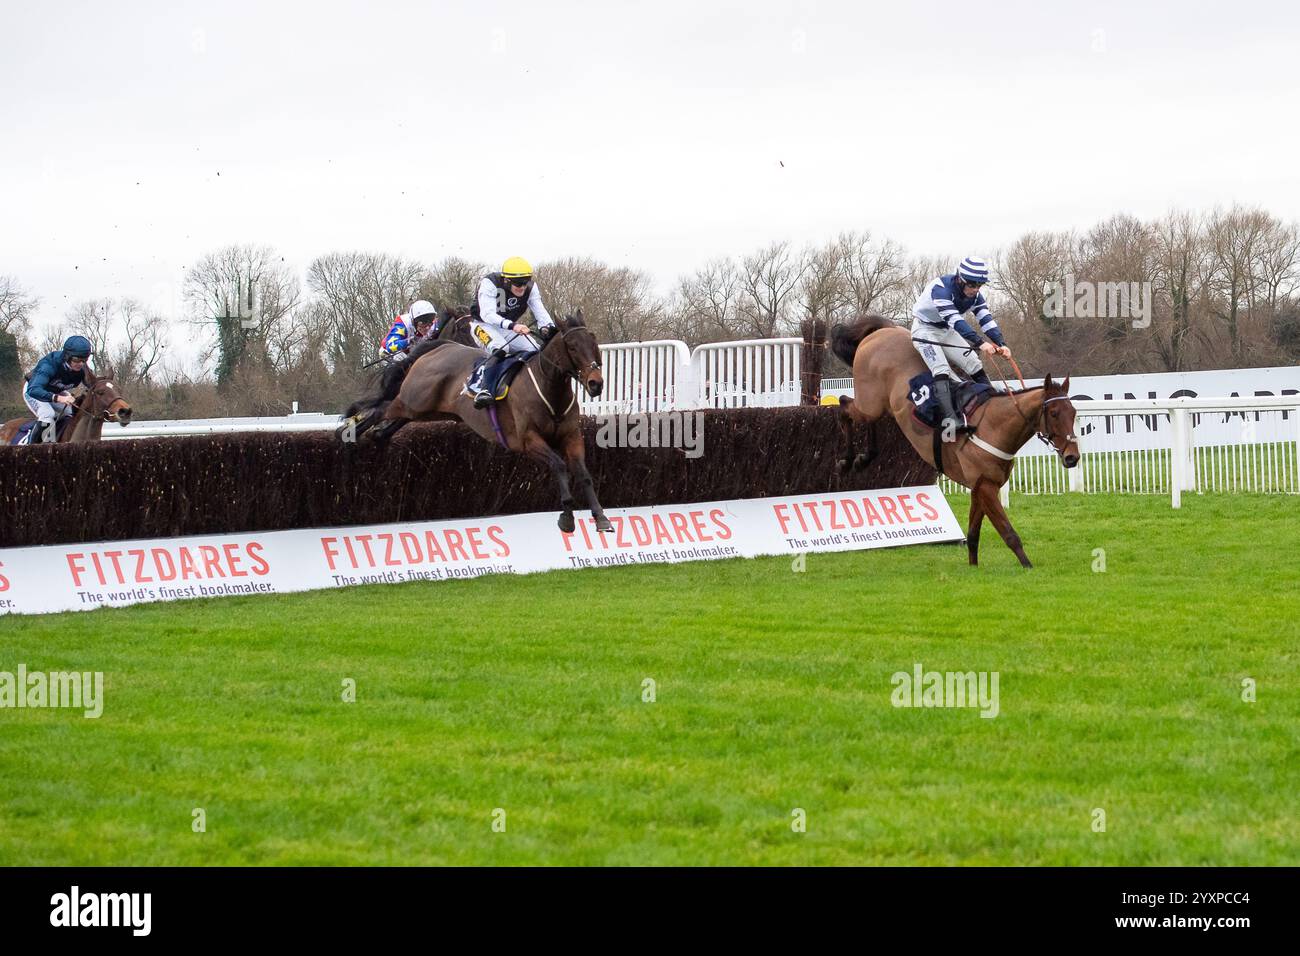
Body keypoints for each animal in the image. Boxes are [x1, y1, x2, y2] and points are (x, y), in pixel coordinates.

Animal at [837, 314, 1081, 567]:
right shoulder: (986, 487)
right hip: (870, 400)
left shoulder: (979, 487)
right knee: (844, 404)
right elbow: (1008, 533)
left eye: (1074, 412)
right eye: (1054, 413)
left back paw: (865, 458)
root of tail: (882, 331)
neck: (992, 425)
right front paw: (1028, 566)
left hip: (878, 405)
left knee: (865, 416)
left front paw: (974, 566)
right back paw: (847, 460)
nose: (1072, 457)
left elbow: (973, 534)